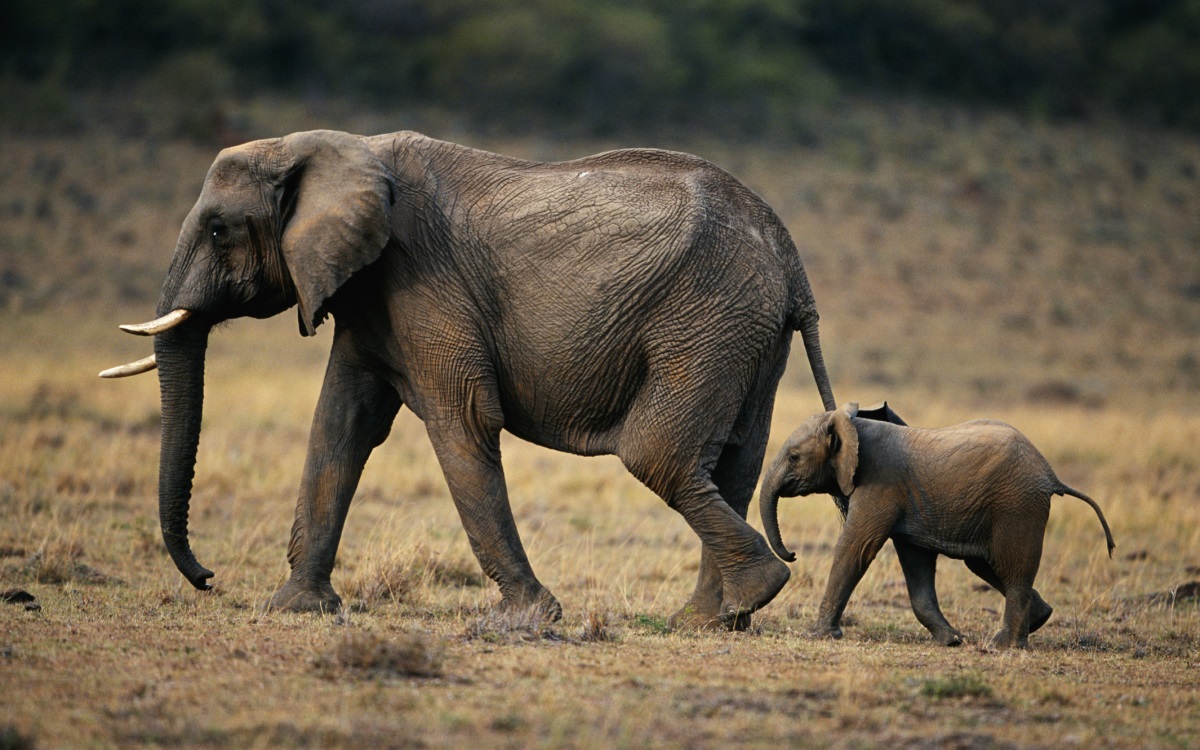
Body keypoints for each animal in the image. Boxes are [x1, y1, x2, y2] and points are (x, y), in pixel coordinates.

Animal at [100, 128, 835, 624]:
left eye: (219, 231)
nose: (207, 576)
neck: (327, 147)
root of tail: (792, 257)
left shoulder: (422, 279)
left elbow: (462, 420)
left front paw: (529, 620)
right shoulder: (370, 296)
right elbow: (340, 426)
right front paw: (296, 609)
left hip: (707, 317)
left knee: (658, 455)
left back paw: (753, 592)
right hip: (745, 332)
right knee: (733, 462)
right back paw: (712, 619)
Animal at [758, 400, 1113, 648]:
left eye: (793, 457)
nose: (792, 555)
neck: (853, 426)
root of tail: (1050, 474)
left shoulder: (880, 485)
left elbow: (856, 548)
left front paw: (817, 635)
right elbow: (916, 562)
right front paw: (951, 640)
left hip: (1017, 505)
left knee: (1012, 567)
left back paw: (1003, 645)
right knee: (989, 564)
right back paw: (1039, 620)